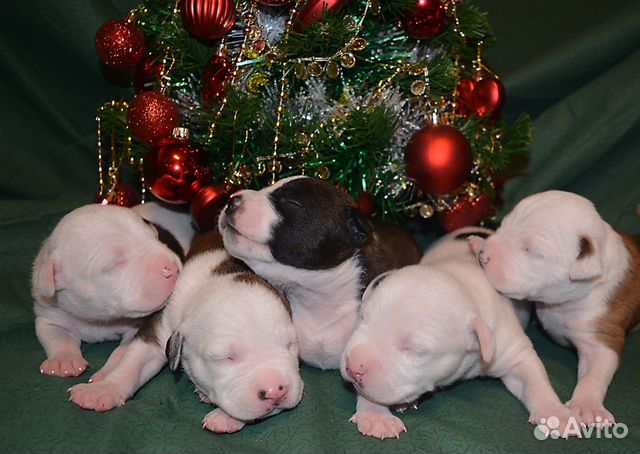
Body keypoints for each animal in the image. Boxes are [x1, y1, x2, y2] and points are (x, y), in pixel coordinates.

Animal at [32, 204, 189, 378]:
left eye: (156, 236)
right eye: (111, 266)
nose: (172, 268)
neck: (99, 319)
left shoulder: (138, 327)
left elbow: (122, 352)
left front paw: (107, 373)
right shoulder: (49, 313)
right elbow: (56, 336)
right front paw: (63, 361)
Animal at [67, 232, 302, 434]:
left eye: (290, 345)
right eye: (224, 358)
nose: (276, 391)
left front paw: (225, 417)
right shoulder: (158, 330)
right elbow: (132, 365)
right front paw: (101, 391)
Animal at [340, 227, 568, 440]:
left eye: (415, 350)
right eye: (362, 317)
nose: (353, 367)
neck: (460, 282)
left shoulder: (513, 350)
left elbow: (535, 380)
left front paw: (554, 413)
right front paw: (376, 415)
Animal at [464, 190, 640, 428]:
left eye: (530, 250)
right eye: (504, 225)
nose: (483, 256)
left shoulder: (601, 336)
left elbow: (594, 374)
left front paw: (587, 406)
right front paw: (478, 241)